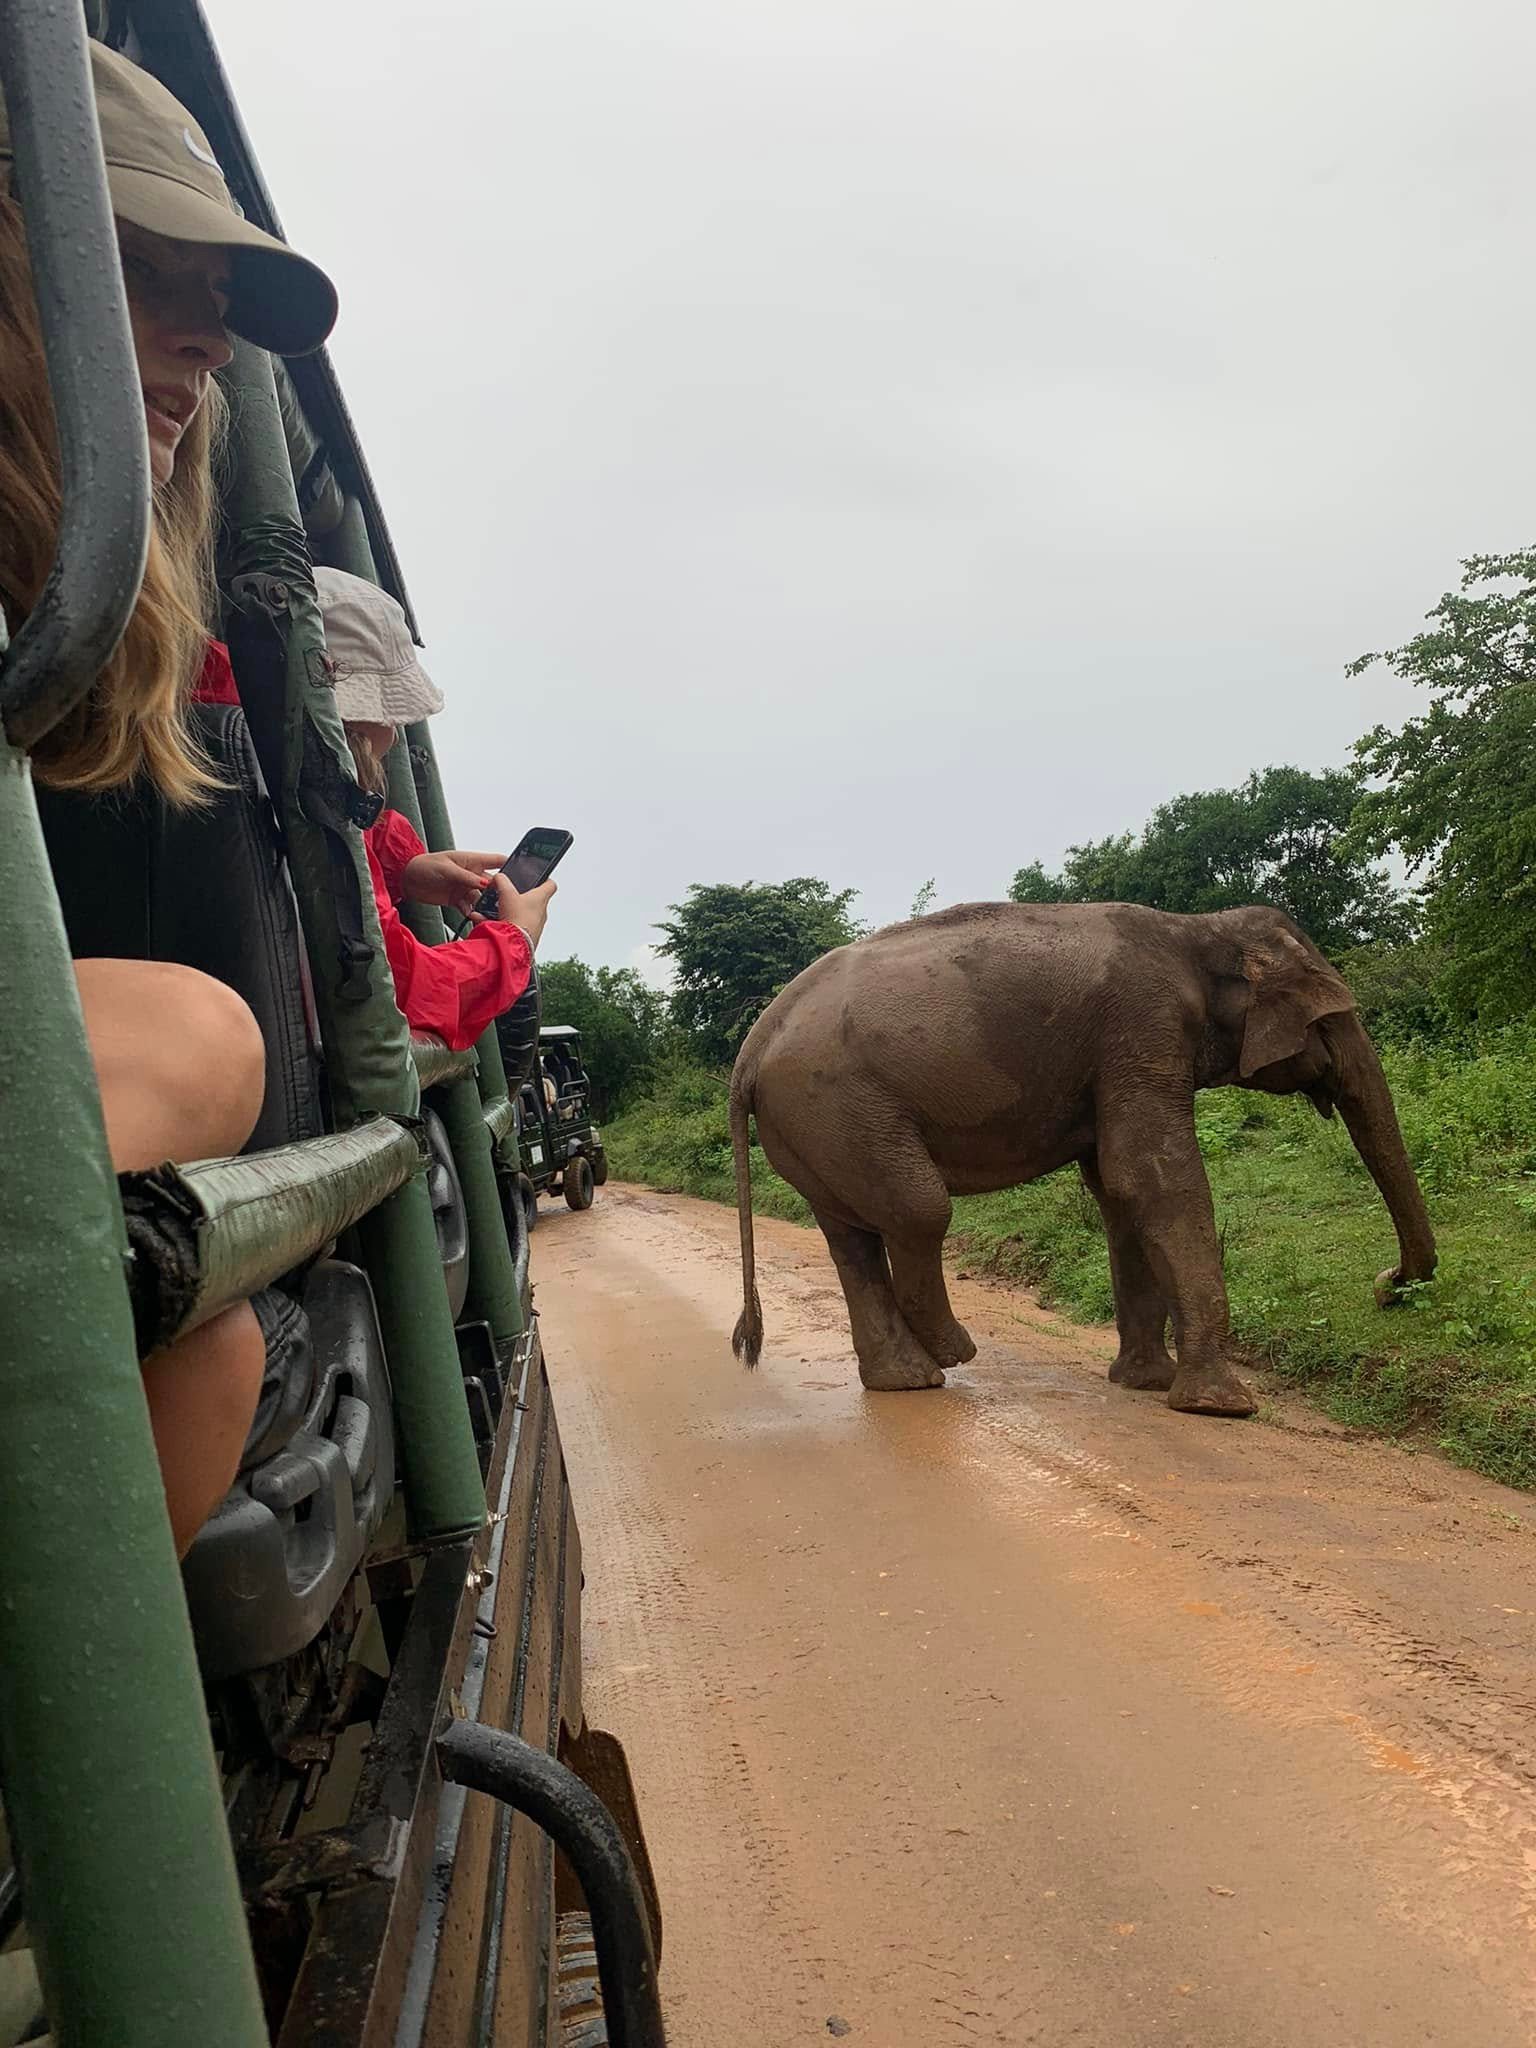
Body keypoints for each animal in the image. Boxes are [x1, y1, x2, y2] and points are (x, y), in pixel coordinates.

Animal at [727, 902, 1435, 1418]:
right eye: (1329, 1020)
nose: (1386, 1285)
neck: (1196, 928)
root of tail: (749, 1050)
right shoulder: (1142, 1027)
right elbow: (1152, 1177)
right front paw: (1221, 1408)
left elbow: (1120, 1193)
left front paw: (1145, 1383)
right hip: (838, 1107)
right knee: (918, 1210)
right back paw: (953, 1353)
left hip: (816, 1127)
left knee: (852, 1237)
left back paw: (908, 1381)